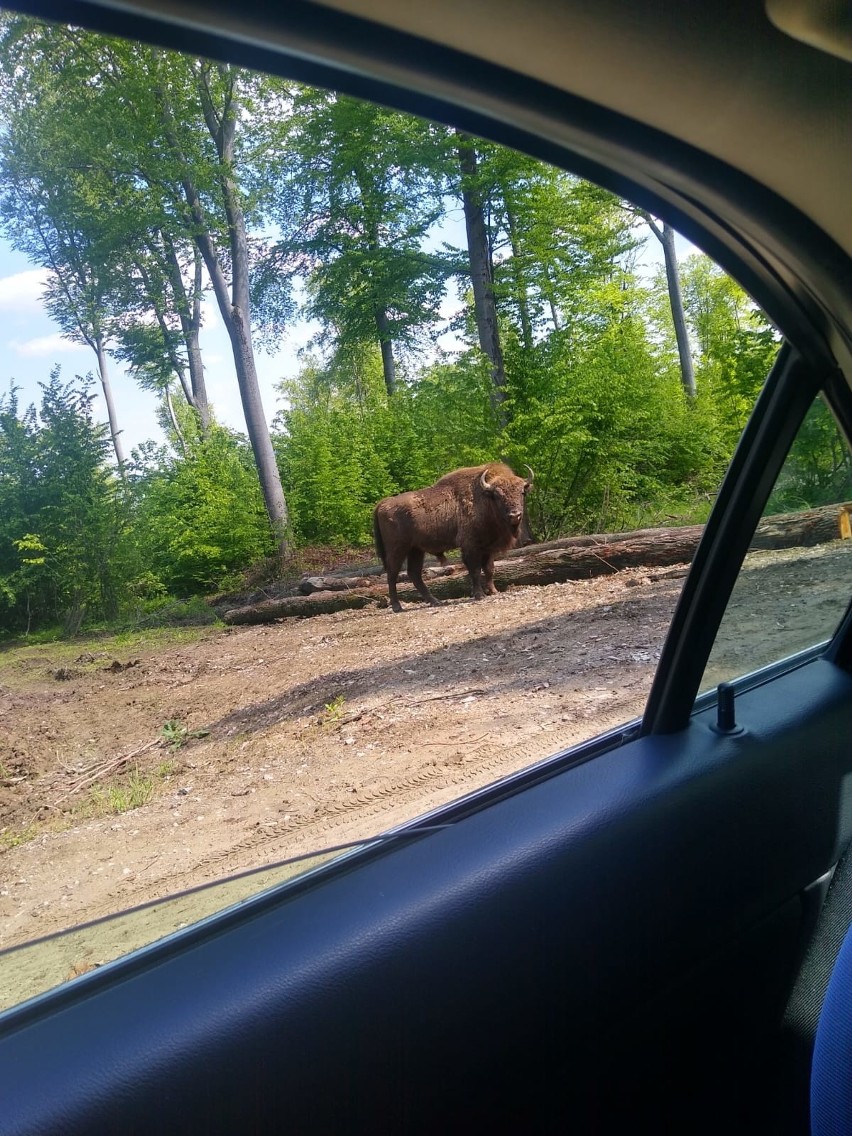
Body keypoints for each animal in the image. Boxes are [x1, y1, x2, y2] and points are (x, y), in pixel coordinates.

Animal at [372, 463, 533, 613]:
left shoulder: (488, 547)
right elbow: (475, 570)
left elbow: (489, 569)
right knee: (392, 574)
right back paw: (397, 606)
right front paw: (479, 595)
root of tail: (383, 503)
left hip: (416, 550)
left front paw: (493, 591)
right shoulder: (470, 546)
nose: (515, 515)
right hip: (397, 549)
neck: (484, 498)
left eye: (522, 492)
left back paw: (435, 601)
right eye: (498, 495)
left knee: (414, 573)